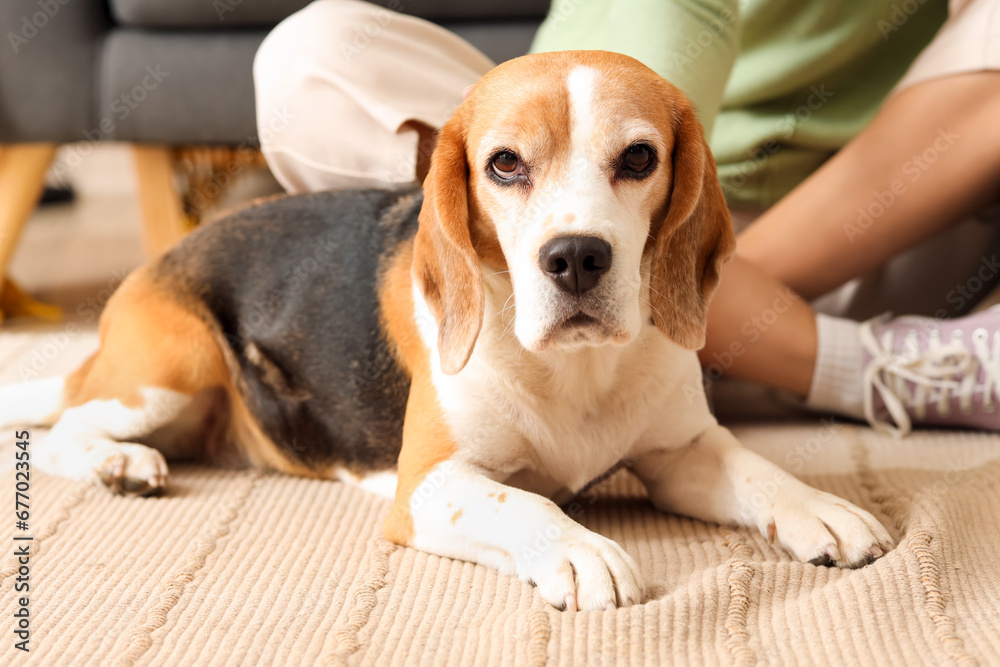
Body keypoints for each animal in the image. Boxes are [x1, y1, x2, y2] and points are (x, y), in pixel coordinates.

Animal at [0, 51, 892, 612]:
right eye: (504, 164)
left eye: (639, 158)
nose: (576, 257)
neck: (574, 372)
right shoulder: (430, 485)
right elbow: (522, 502)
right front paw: (581, 548)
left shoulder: (682, 455)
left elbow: (757, 467)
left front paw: (822, 507)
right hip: (170, 364)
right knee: (63, 427)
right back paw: (118, 462)